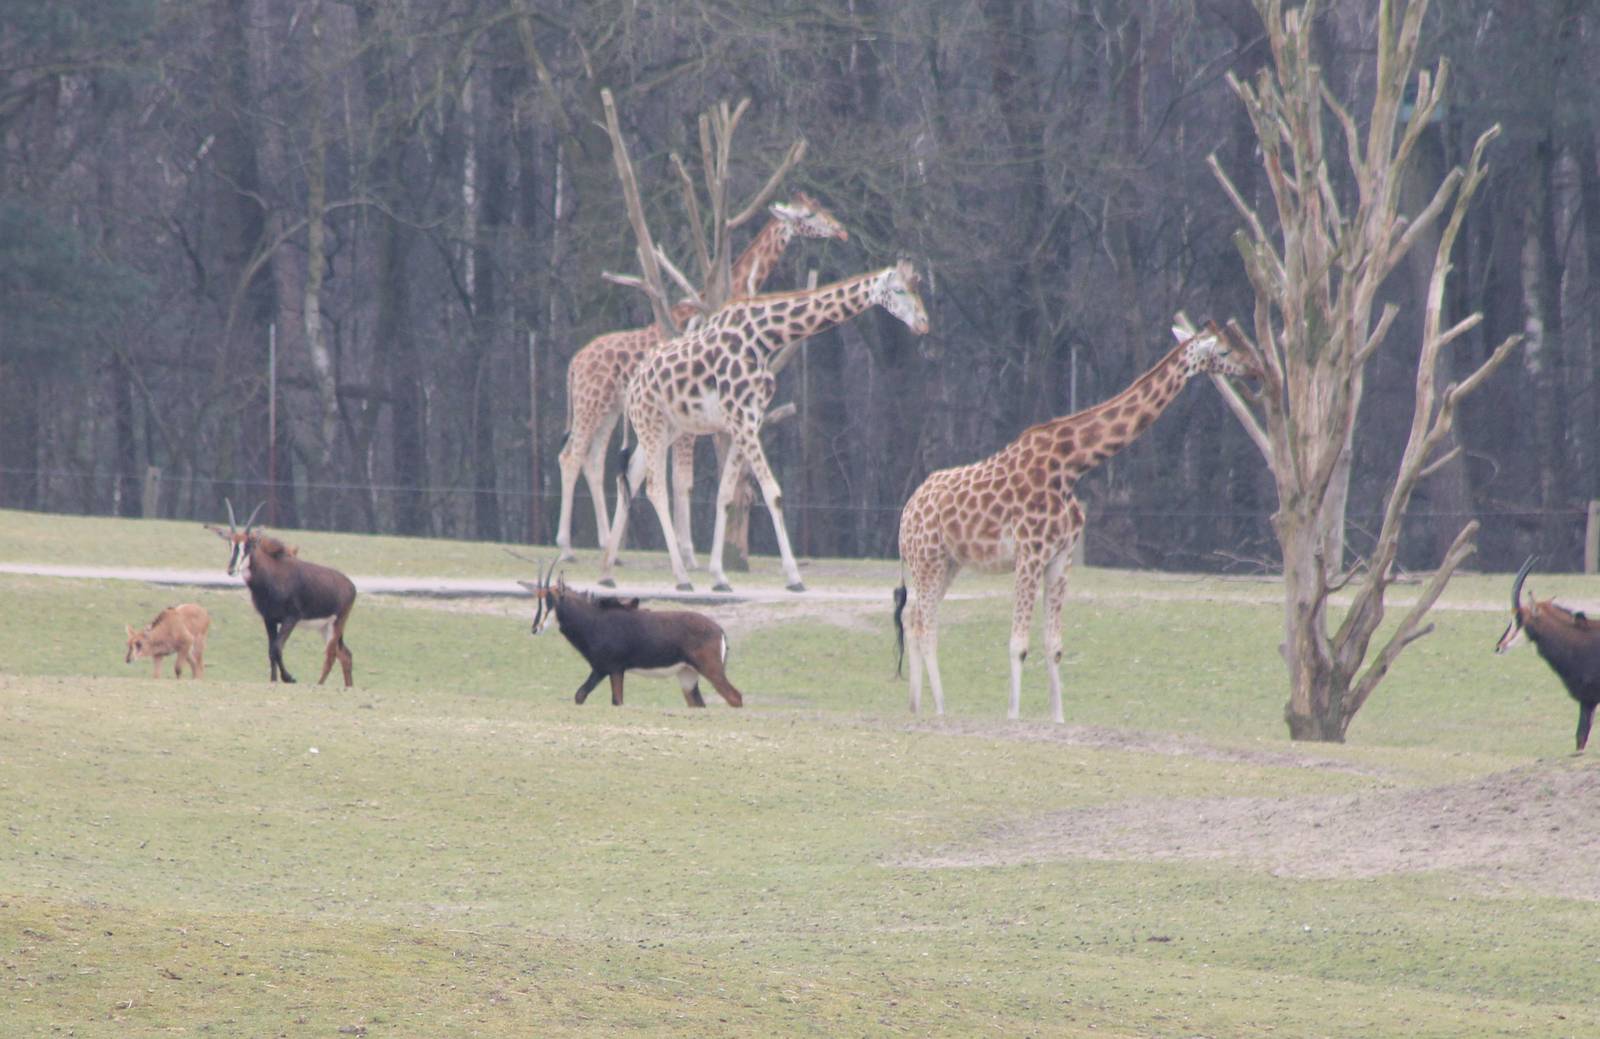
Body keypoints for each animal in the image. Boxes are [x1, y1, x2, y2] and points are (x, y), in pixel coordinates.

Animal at [554, 193, 848, 563]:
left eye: (822, 208)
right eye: (809, 215)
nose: (840, 231)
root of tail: (573, 364)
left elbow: (684, 479)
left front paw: (689, 553)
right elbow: (683, 480)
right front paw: (689, 554)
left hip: (608, 410)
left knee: (592, 461)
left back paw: (609, 547)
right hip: (591, 405)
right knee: (570, 457)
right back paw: (566, 547)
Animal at [601, 260, 930, 593]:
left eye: (917, 288)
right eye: (898, 290)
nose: (923, 324)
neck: (765, 337)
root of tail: (633, 384)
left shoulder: (746, 420)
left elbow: (725, 495)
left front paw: (720, 577)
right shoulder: (742, 420)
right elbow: (773, 492)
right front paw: (794, 578)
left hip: (669, 427)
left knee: (629, 476)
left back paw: (607, 573)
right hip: (651, 422)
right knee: (654, 487)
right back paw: (681, 578)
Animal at [893, 322, 1258, 723]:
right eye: (1224, 351)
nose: (1255, 369)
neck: (1071, 465)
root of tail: (906, 513)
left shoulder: (1060, 557)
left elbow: (1053, 645)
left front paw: (1058, 719)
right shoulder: (1030, 553)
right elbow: (1018, 644)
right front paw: (1013, 716)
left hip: (947, 563)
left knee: (913, 617)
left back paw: (915, 705)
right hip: (928, 559)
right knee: (925, 623)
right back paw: (940, 709)